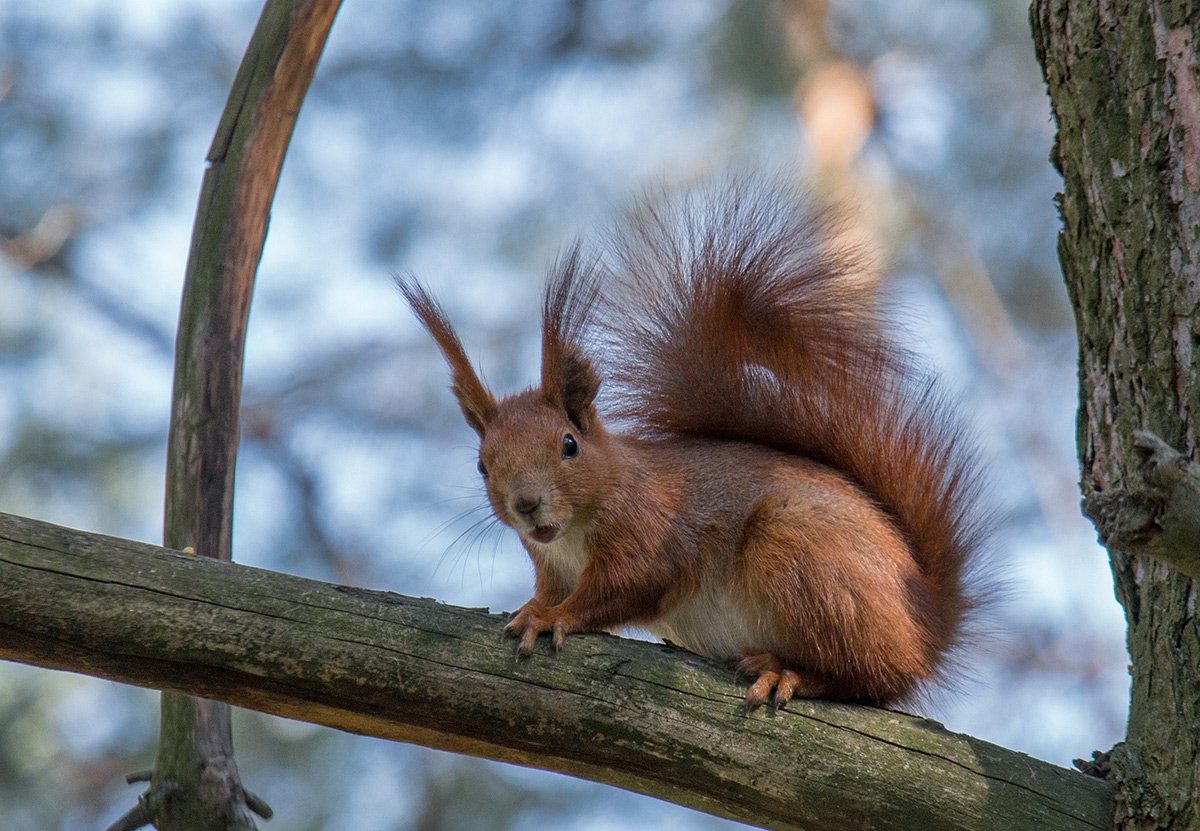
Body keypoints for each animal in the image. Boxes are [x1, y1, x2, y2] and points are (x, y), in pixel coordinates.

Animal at [396, 180, 984, 706]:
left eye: (569, 445)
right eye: (481, 465)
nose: (527, 503)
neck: (577, 529)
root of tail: (927, 628)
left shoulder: (654, 529)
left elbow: (625, 588)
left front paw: (552, 617)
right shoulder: (549, 562)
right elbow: (552, 588)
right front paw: (531, 607)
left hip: (802, 551)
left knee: (868, 677)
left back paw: (787, 672)